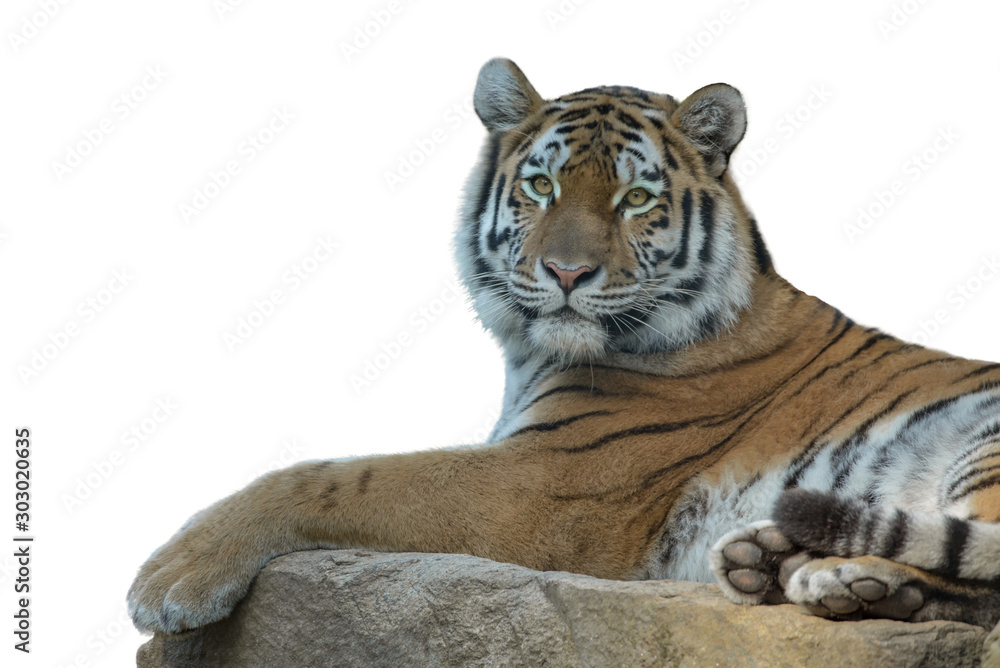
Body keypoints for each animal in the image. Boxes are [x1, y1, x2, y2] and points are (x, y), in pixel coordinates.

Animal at [129, 58, 1000, 635]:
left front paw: (170, 576)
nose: (568, 272)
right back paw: (767, 561)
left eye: (637, 197)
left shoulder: (541, 483)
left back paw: (841, 576)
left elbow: (339, 477)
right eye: (541, 186)